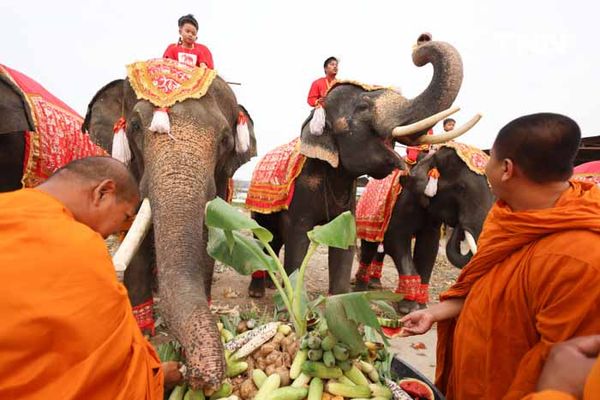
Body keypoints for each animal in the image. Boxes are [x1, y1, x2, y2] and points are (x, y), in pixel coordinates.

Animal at [246, 33, 480, 296]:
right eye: (363, 107)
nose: (422, 40)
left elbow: (345, 244)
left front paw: (339, 300)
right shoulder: (300, 192)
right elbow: (297, 238)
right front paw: (294, 301)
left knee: (274, 239)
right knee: (264, 235)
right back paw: (258, 291)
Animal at [356, 144, 492, 312]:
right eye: (461, 188)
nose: (459, 224)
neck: (431, 155)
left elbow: (428, 248)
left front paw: (421, 307)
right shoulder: (402, 202)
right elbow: (395, 240)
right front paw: (407, 308)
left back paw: (374, 285)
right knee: (369, 247)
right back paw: (361, 290)